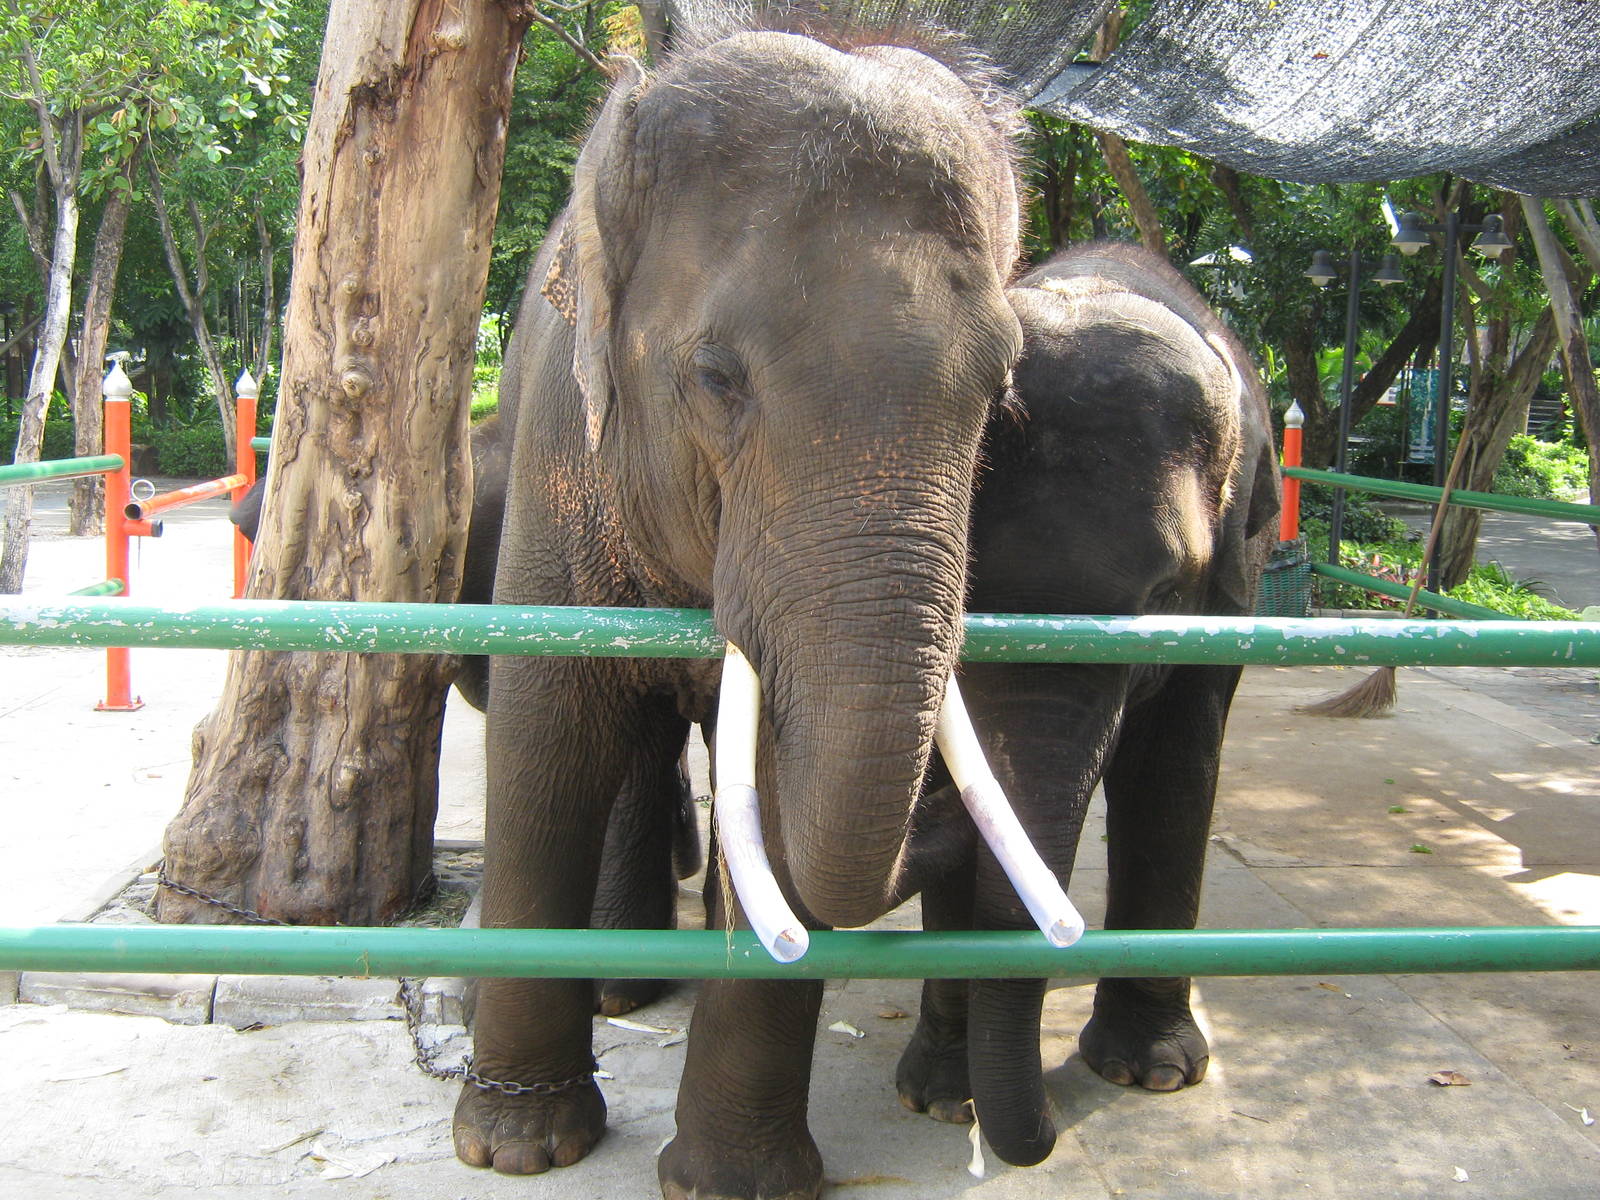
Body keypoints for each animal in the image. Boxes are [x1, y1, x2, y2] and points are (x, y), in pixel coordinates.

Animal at [453, 25, 1027, 1200]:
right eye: (718, 378)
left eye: (998, 392)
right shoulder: (557, 457)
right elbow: (545, 745)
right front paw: (517, 1148)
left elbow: (776, 783)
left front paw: (731, 1183)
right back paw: (615, 997)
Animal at [890, 242, 1279, 1166]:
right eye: (966, 586)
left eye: (1166, 595)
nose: (1046, 1136)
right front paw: (943, 1099)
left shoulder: (1229, 592)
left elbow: (1175, 769)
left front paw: (1154, 1075)